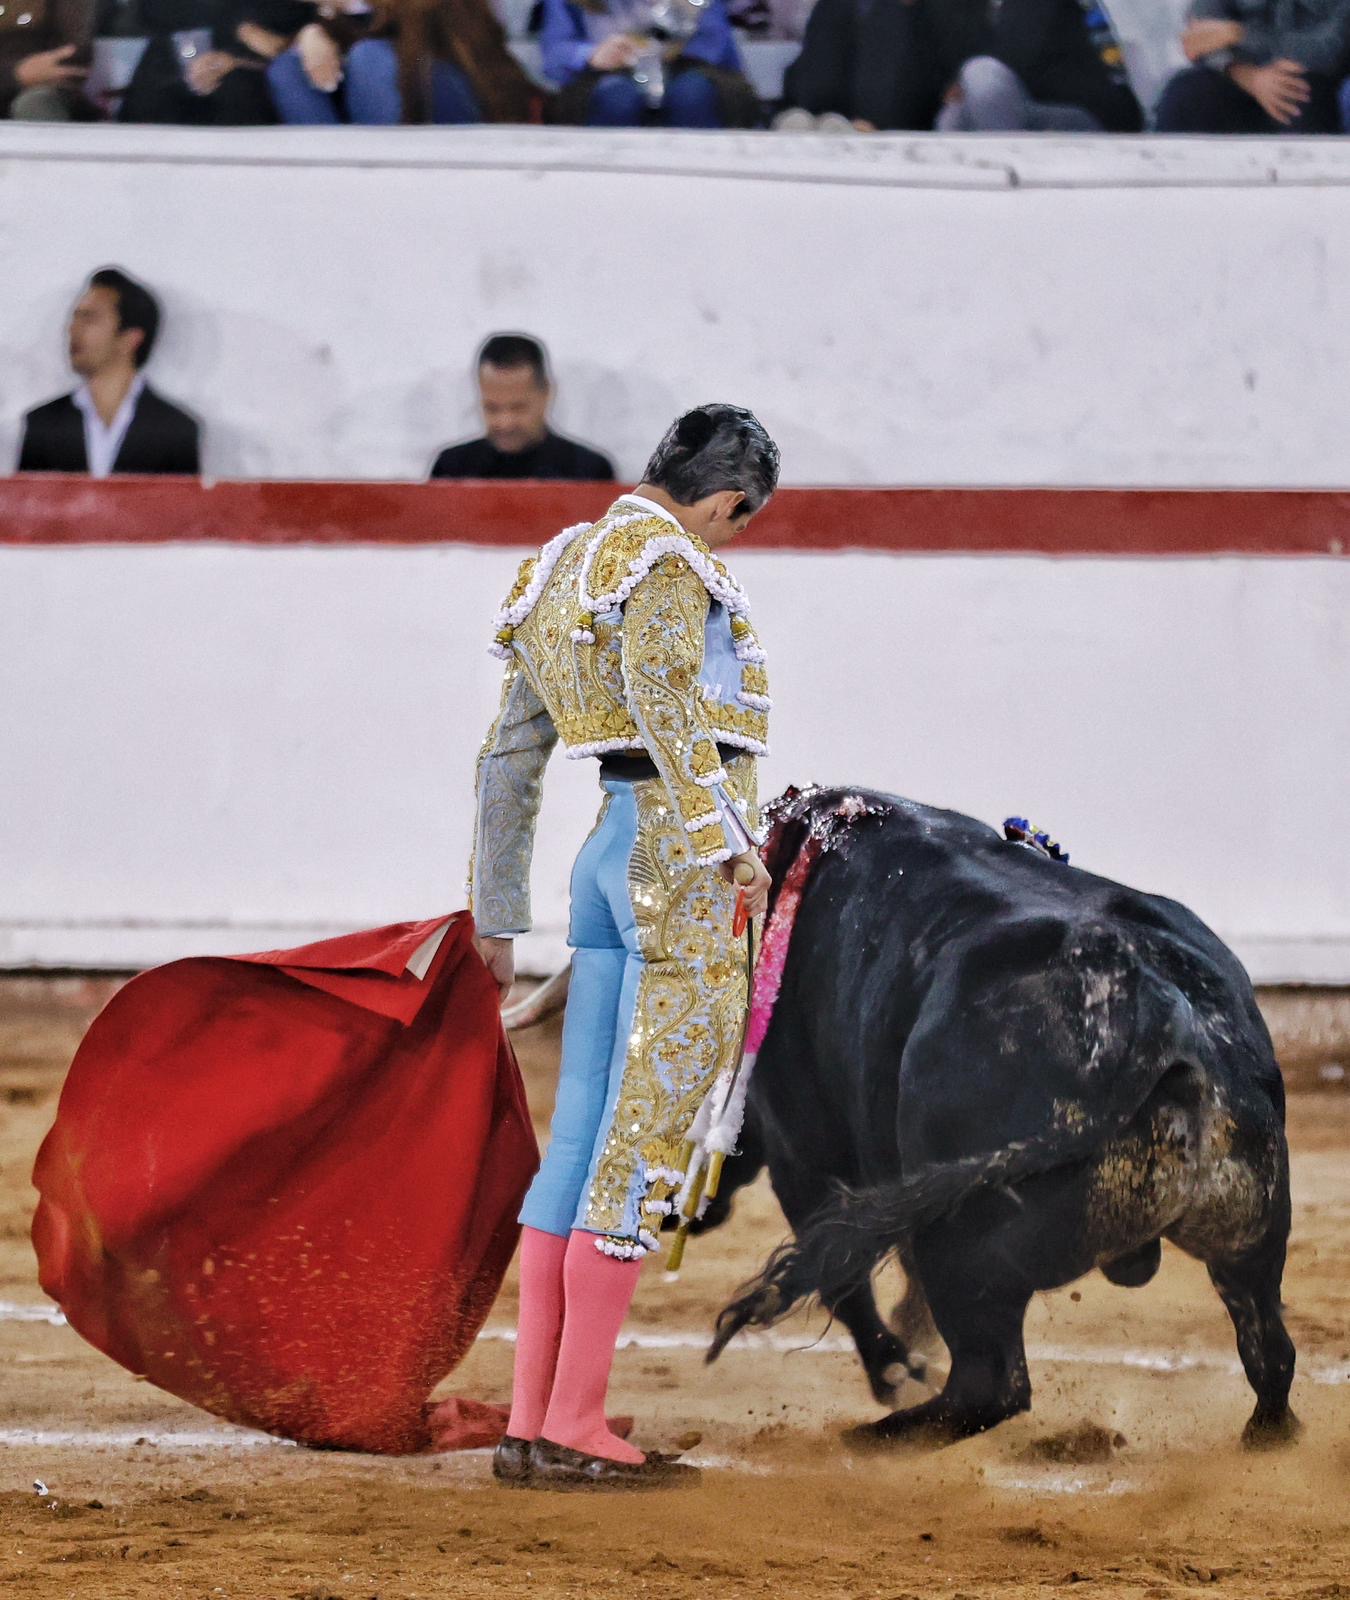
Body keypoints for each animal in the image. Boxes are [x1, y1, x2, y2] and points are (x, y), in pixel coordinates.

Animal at [702, 785, 1298, 1451]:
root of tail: (1157, 1017)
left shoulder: (802, 1157)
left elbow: (843, 1276)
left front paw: (894, 1370)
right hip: (1251, 1234)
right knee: (1270, 1353)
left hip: (965, 1253)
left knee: (987, 1385)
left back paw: (872, 1437)